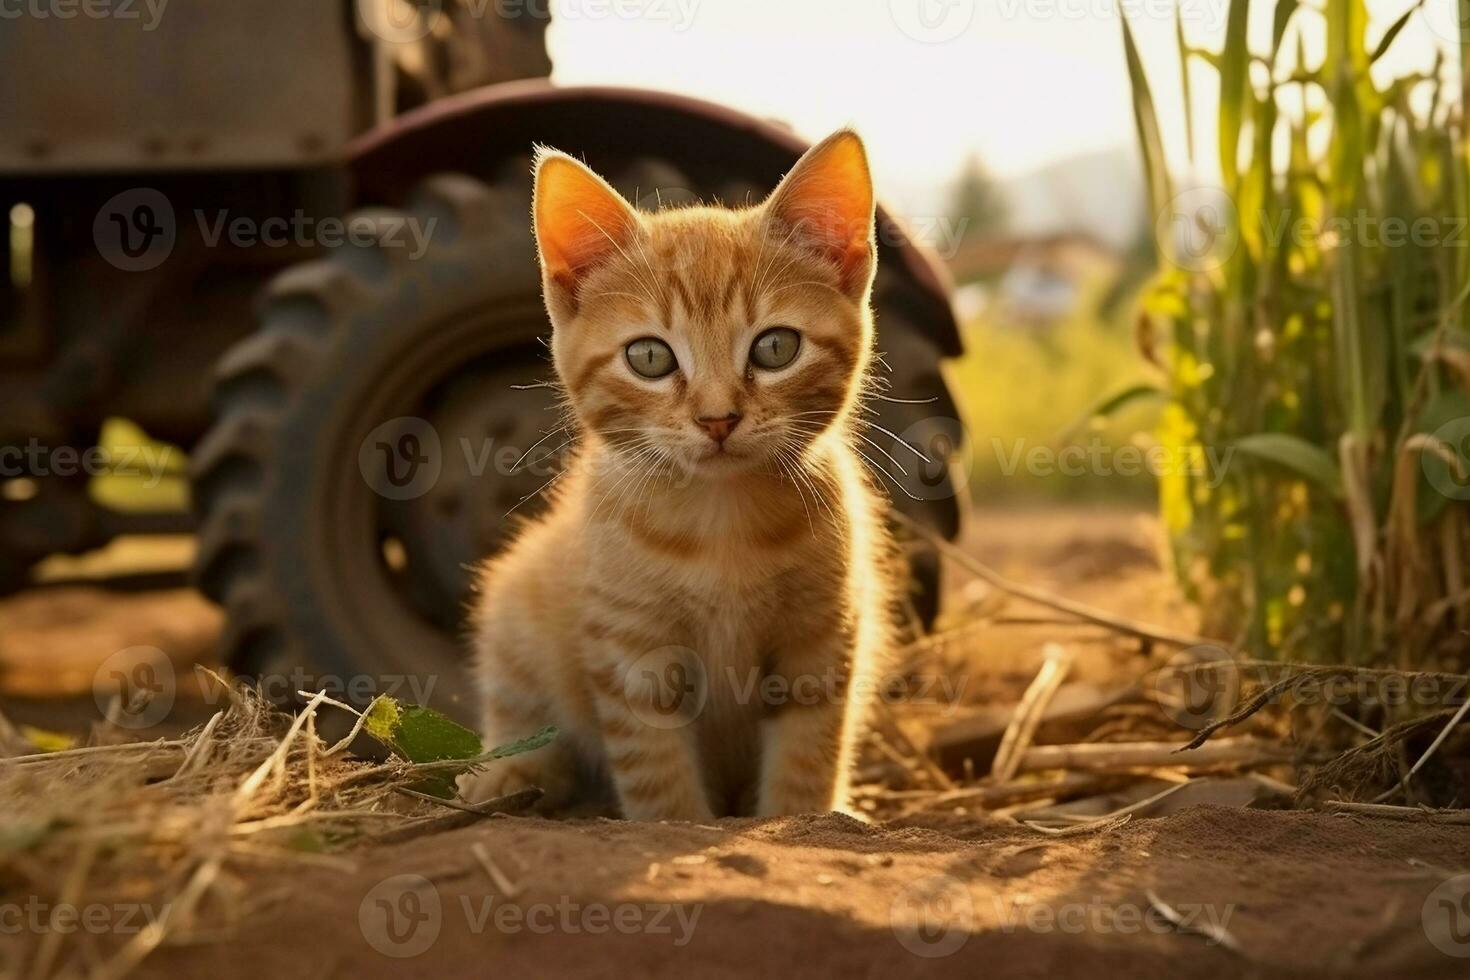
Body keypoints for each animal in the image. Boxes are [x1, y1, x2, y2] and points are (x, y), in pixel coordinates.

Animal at [458, 130, 893, 822]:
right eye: (649, 357)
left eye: (776, 347)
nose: (717, 418)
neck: (722, 525)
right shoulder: (631, 656)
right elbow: (657, 776)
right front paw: (680, 824)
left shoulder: (824, 639)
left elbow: (807, 757)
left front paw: (802, 818)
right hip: (517, 601)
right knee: (516, 703)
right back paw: (508, 773)